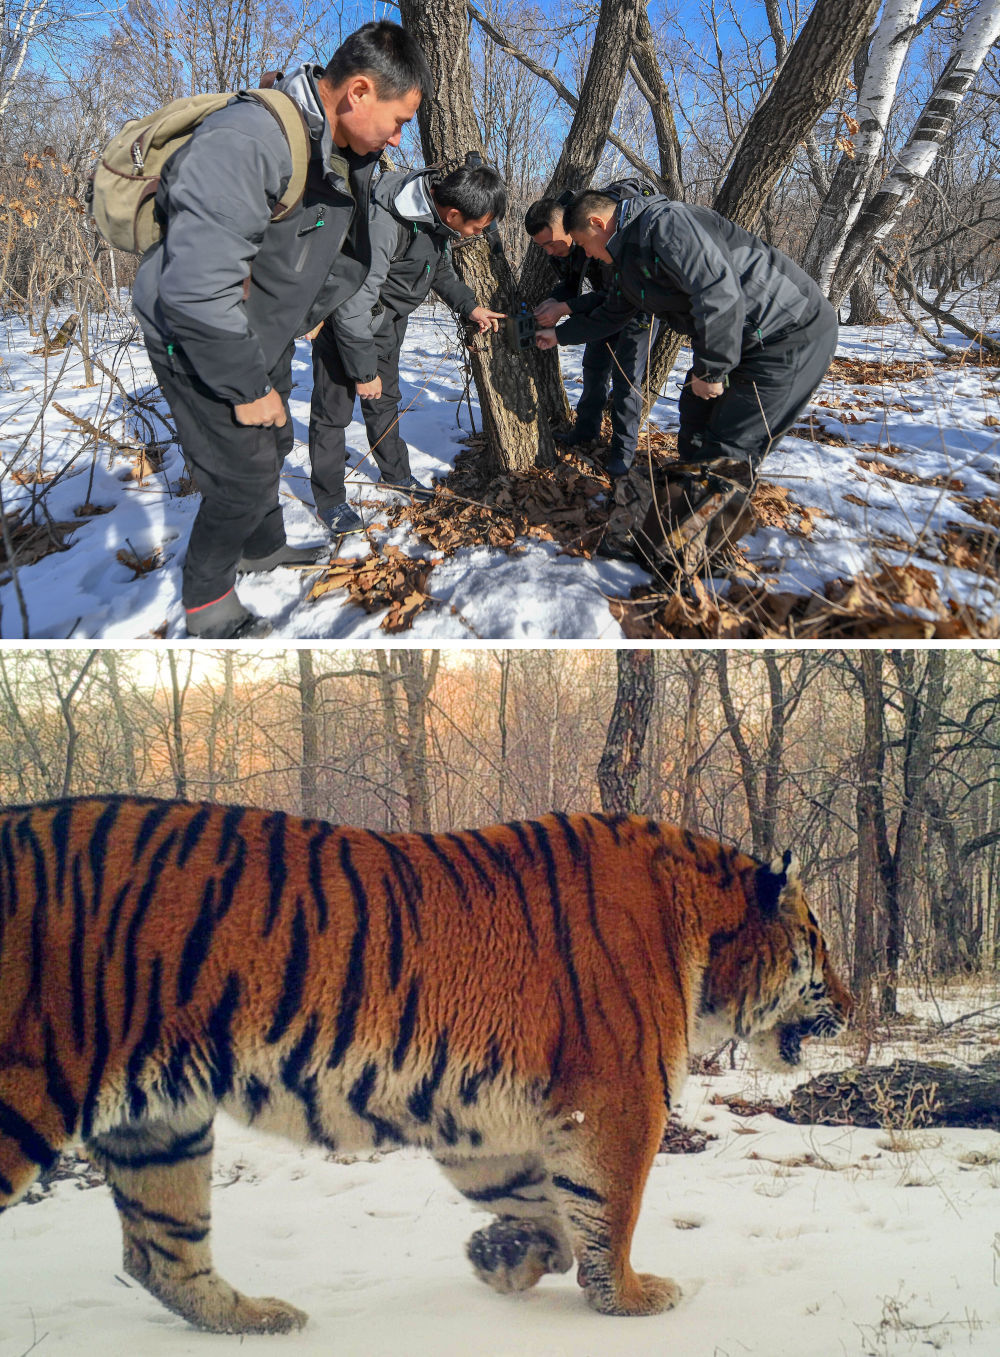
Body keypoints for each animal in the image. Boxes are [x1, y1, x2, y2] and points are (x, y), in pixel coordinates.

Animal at [0, 795, 851, 1333]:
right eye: (822, 942)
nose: (850, 1002)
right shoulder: (619, 1095)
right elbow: (610, 1208)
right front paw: (632, 1297)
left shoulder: (483, 1116)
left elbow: (543, 1202)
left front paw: (503, 1257)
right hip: (28, 1094)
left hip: (164, 1120)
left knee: (159, 1251)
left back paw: (261, 1320)